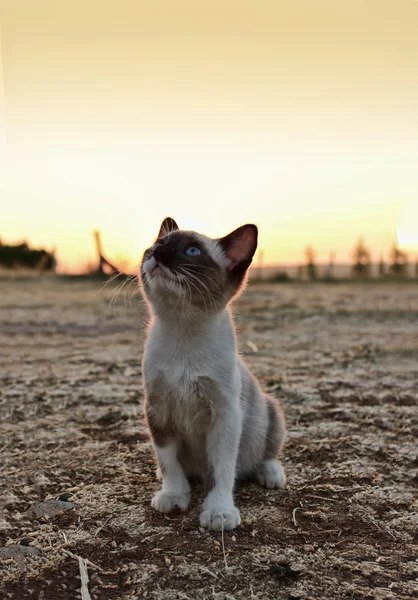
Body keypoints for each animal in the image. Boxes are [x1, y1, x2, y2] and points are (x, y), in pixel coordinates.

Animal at [140, 218, 288, 532]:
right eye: (156, 245)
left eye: (192, 251)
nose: (158, 253)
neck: (183, 333)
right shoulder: (157, 410)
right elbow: (169, 461)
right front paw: (173, 495)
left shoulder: (224, 415)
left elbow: (222, 470)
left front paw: (219, 513)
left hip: (271, 408)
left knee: (265, 453)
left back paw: (270, 474)